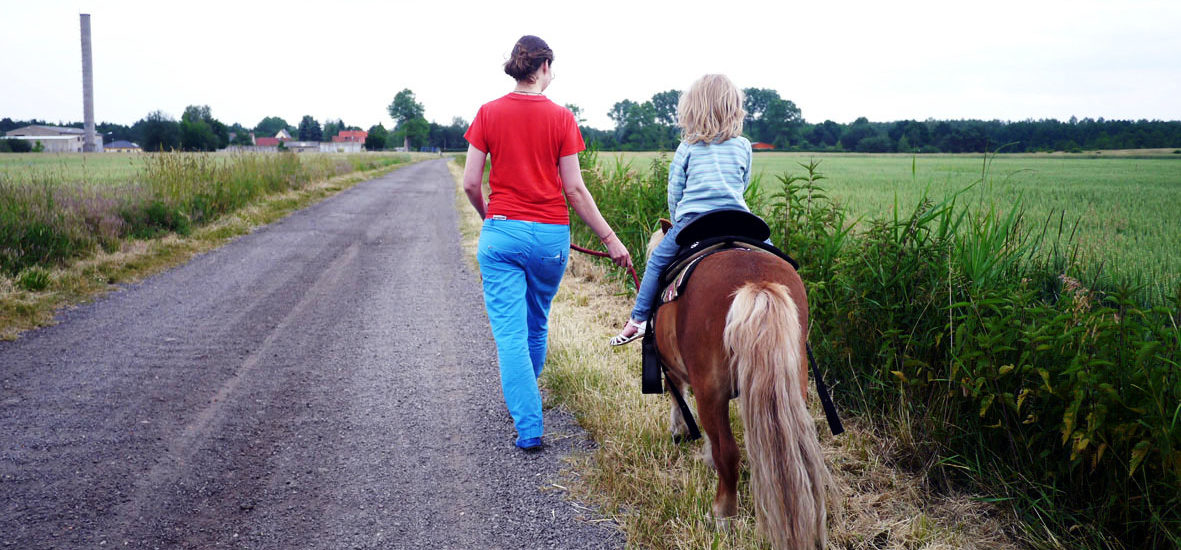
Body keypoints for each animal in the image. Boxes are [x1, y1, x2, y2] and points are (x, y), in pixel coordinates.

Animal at [647, 220, 831, 550]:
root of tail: (756, 282)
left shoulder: (680, 374)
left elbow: (679, 399)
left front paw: (679, 432)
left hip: (712, 391)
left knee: (729, 452)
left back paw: (723, 514)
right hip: (792, 387)